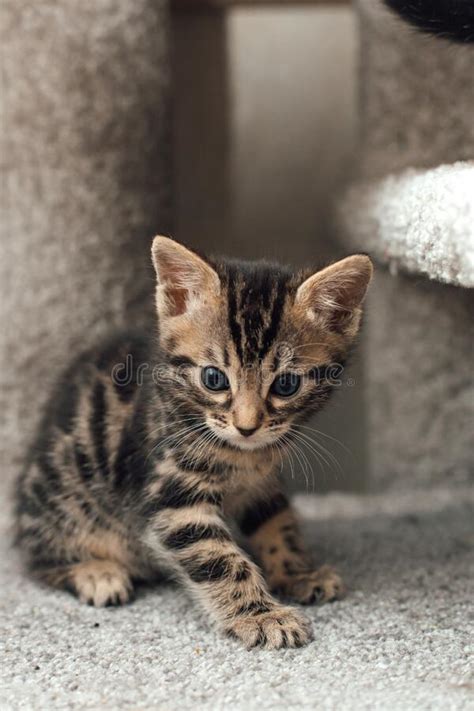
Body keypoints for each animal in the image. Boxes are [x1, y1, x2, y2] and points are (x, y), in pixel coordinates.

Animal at [15, 239, 374, 652]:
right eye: (214, 379)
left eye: (286, 385)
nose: (247, 427)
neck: (243, 455)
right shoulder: (173, 494)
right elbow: (219, 558)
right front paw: (262, 615)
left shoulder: (261, 483)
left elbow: (278, 524)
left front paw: (298, 572)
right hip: (66, 499)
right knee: (39, 555)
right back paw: (96, 571)